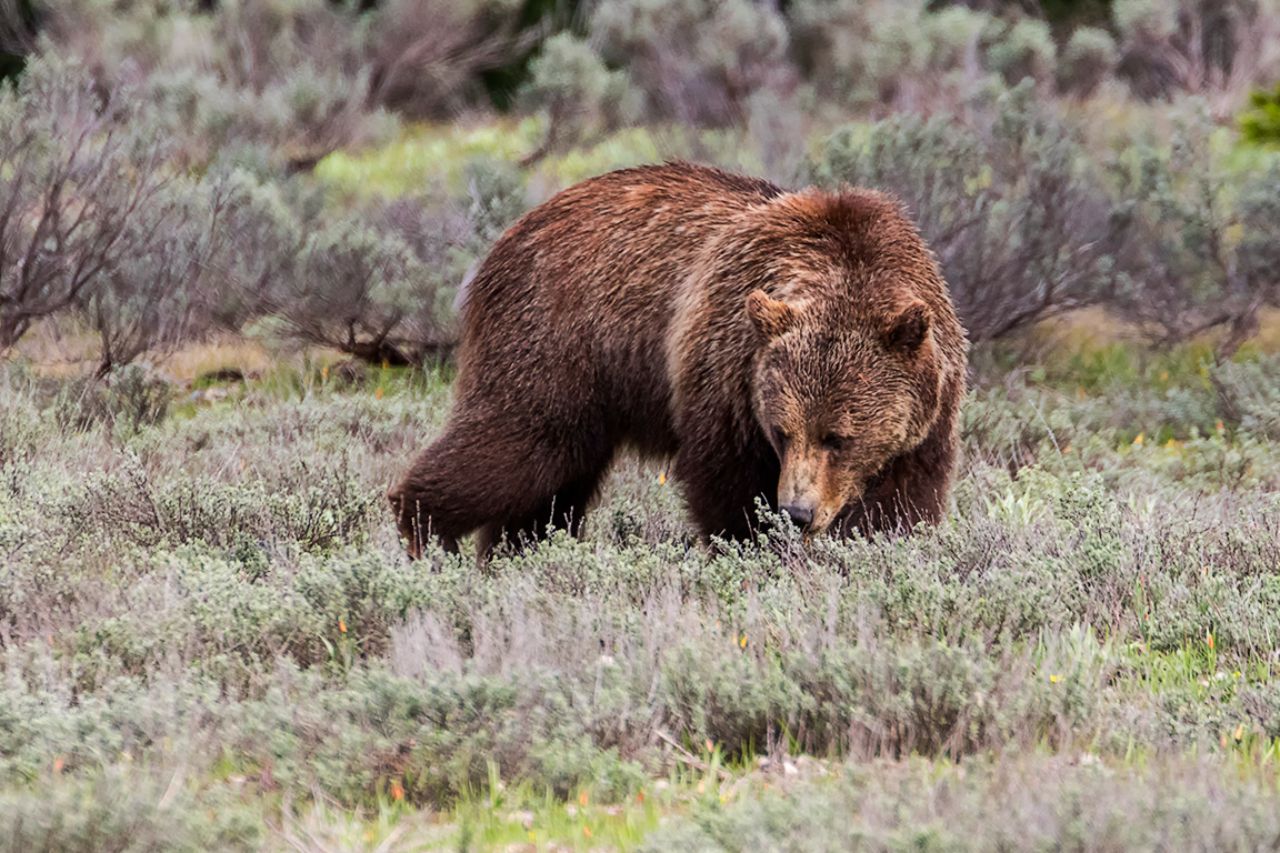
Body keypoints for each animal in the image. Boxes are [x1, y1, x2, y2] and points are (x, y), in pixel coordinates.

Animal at [389, 161, 968, 559]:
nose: (797, 513)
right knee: (518, 446)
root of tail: (510, 233)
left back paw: (518, 552)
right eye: (782, 431)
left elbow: (901, 504)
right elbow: (726, 485)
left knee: (553, 487)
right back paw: (423, 529)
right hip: (555, 340)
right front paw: (756, 547)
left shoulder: (926, 413)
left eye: (838, 437)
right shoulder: (728, 371)